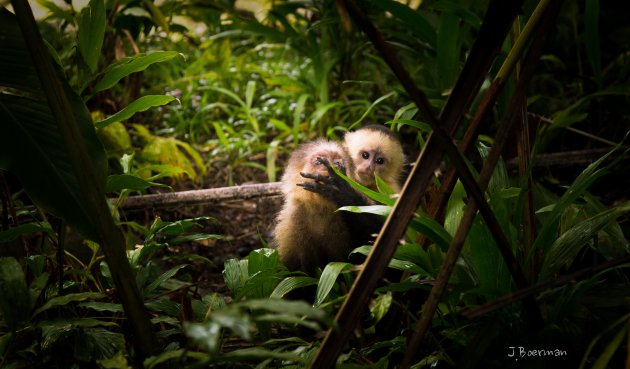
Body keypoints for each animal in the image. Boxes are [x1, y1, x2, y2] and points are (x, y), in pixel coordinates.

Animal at [274, 138, 358, 274]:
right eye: (318, 162)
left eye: (337, 164)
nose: (328, 171)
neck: (319, 209)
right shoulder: (294, 218)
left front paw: (341, 190)